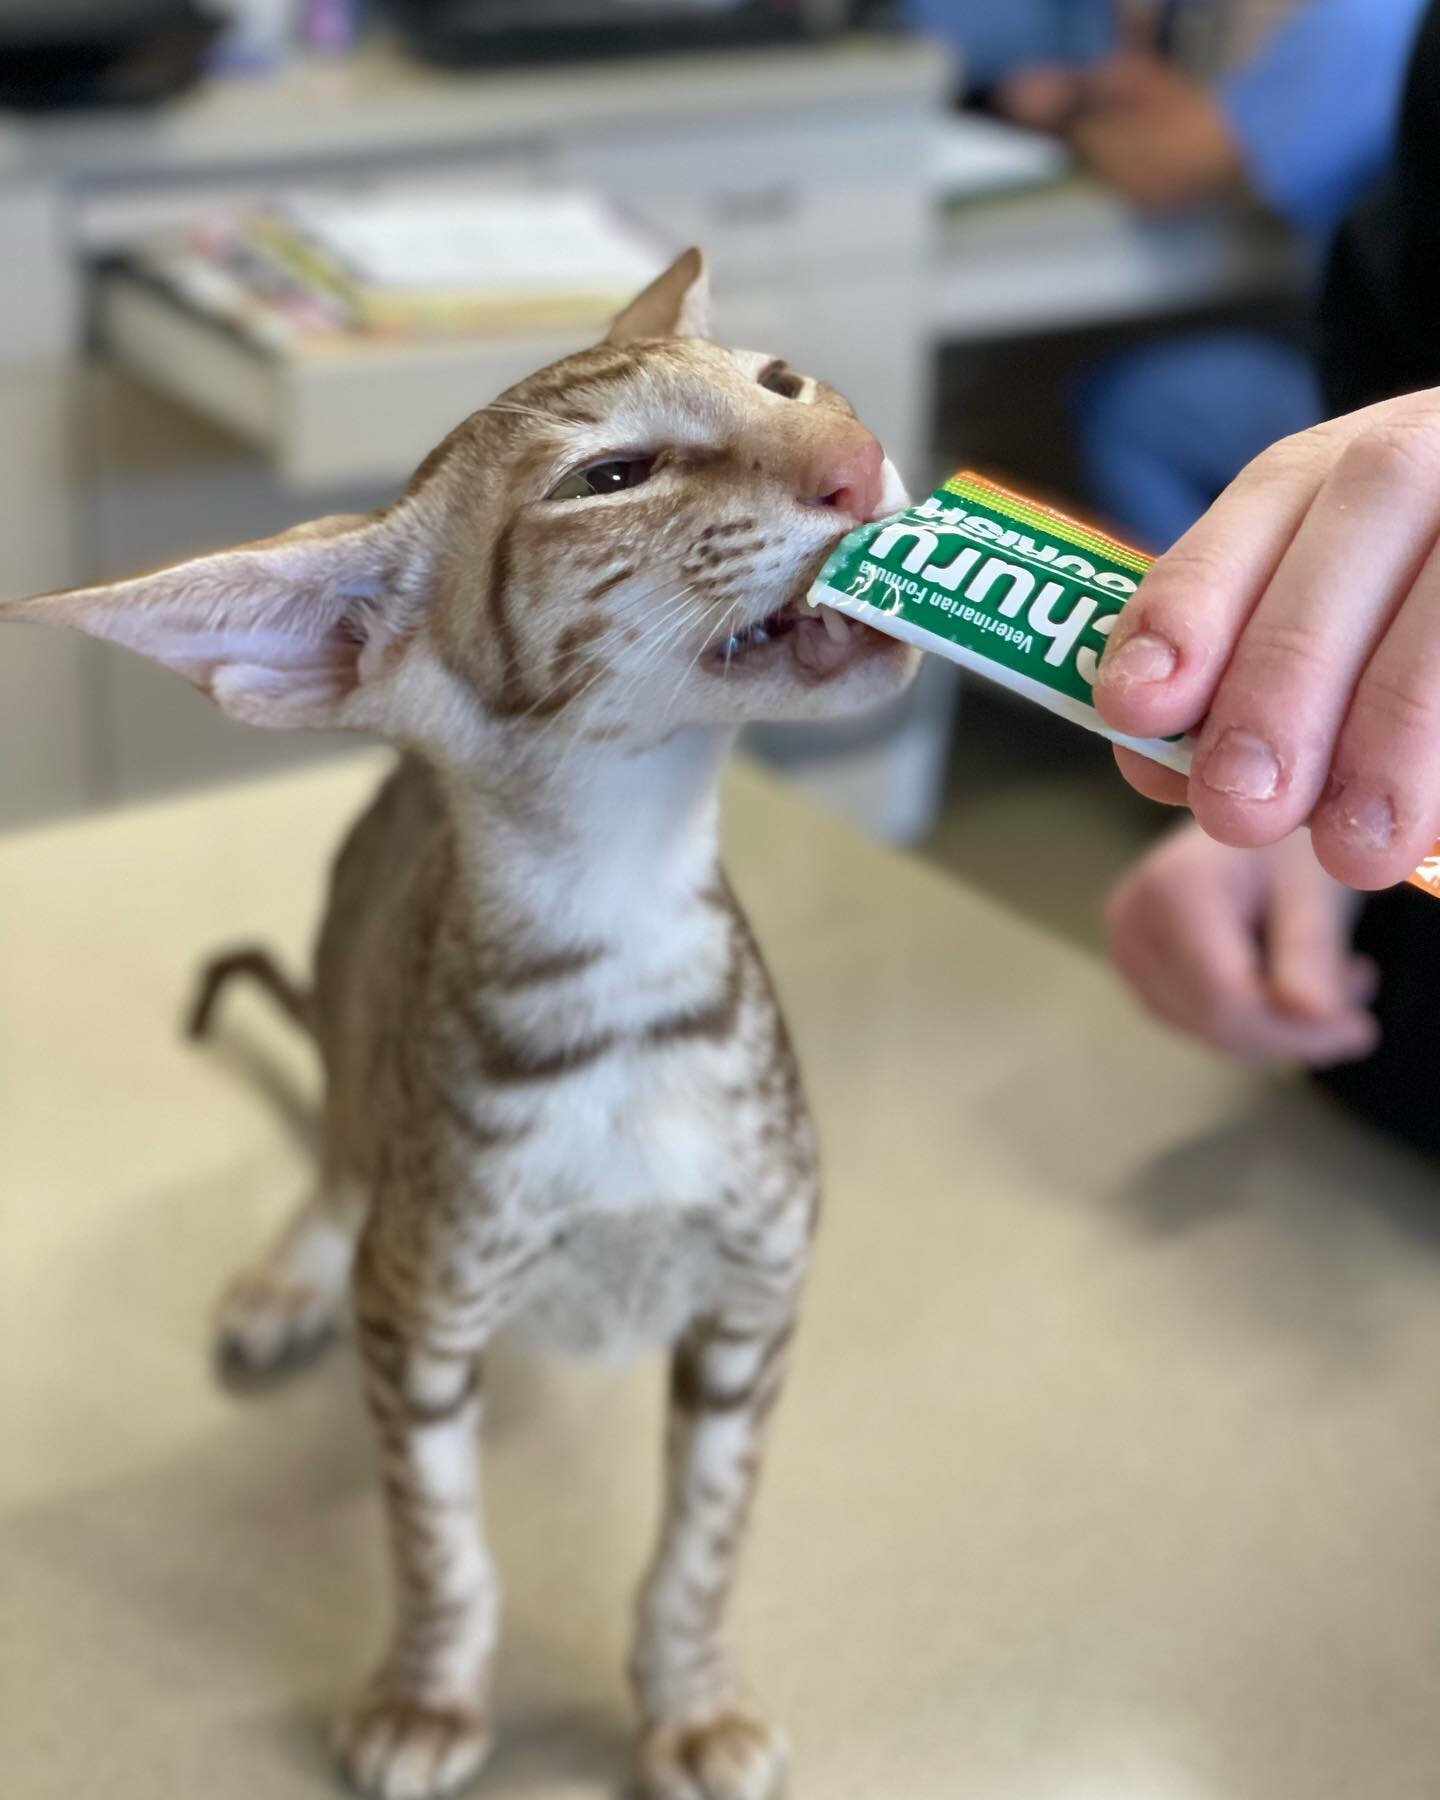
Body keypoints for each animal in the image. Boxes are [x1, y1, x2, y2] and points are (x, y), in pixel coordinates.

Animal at [0, 250, 918, 1800]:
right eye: (610, 475)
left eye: (781, 380)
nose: (856, 458)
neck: (623, 975)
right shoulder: (416, 1319)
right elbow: (440, 1546)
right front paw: (427, 1693)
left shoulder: (755, 1296)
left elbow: (703, 1541)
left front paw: (691, 1701)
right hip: (356, 1052)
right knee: (336, 1158)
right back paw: (286, 1277)